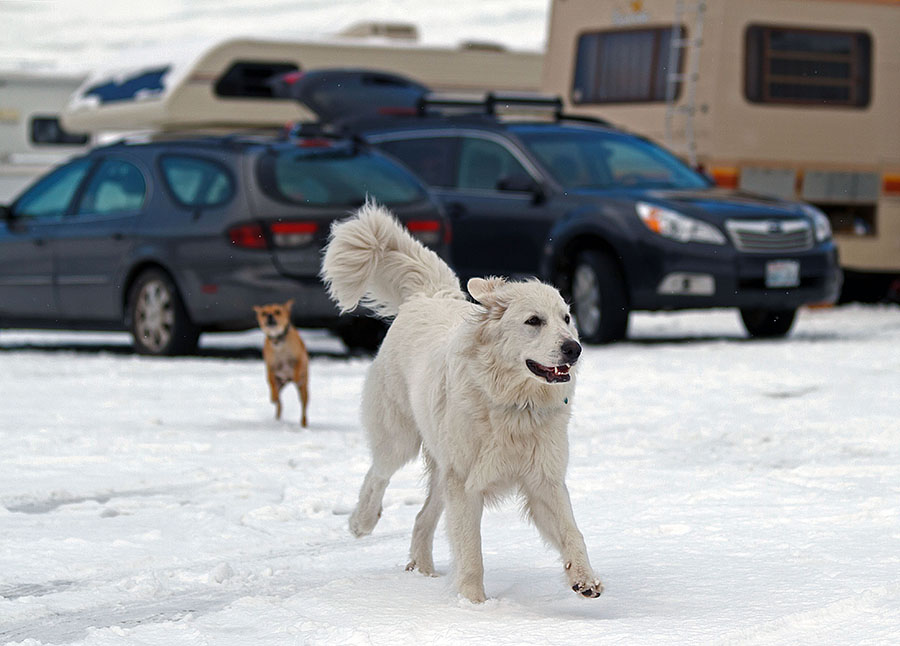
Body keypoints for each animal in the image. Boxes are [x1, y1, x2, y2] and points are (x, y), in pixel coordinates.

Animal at [253, 300, 310, 430]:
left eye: (277, 311)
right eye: (264, 313)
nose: (269, 316)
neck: (278, 341)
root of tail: (287, 380)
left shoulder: (299, 359)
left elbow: (297, 368)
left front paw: (297, 376)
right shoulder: (271, 368)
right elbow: (272, 383)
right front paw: (273, 396)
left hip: (304, 391)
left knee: (303, 408)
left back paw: (304, 424)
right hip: (280, 385)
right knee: (279, 404)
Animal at [320, 204, 600, 608]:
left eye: (566, 318)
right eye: (534, 321)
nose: (574, 348)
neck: (512, 404)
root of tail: (428, 296)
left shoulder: (543, 481)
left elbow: (572, 532)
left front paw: (584, 578)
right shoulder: (467, 487)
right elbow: (471, 551)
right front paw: (474, 606)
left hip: (442, 469)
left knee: (422, 518)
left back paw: (421, 570)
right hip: (402, 441)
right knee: (377, 474)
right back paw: (362, 522)